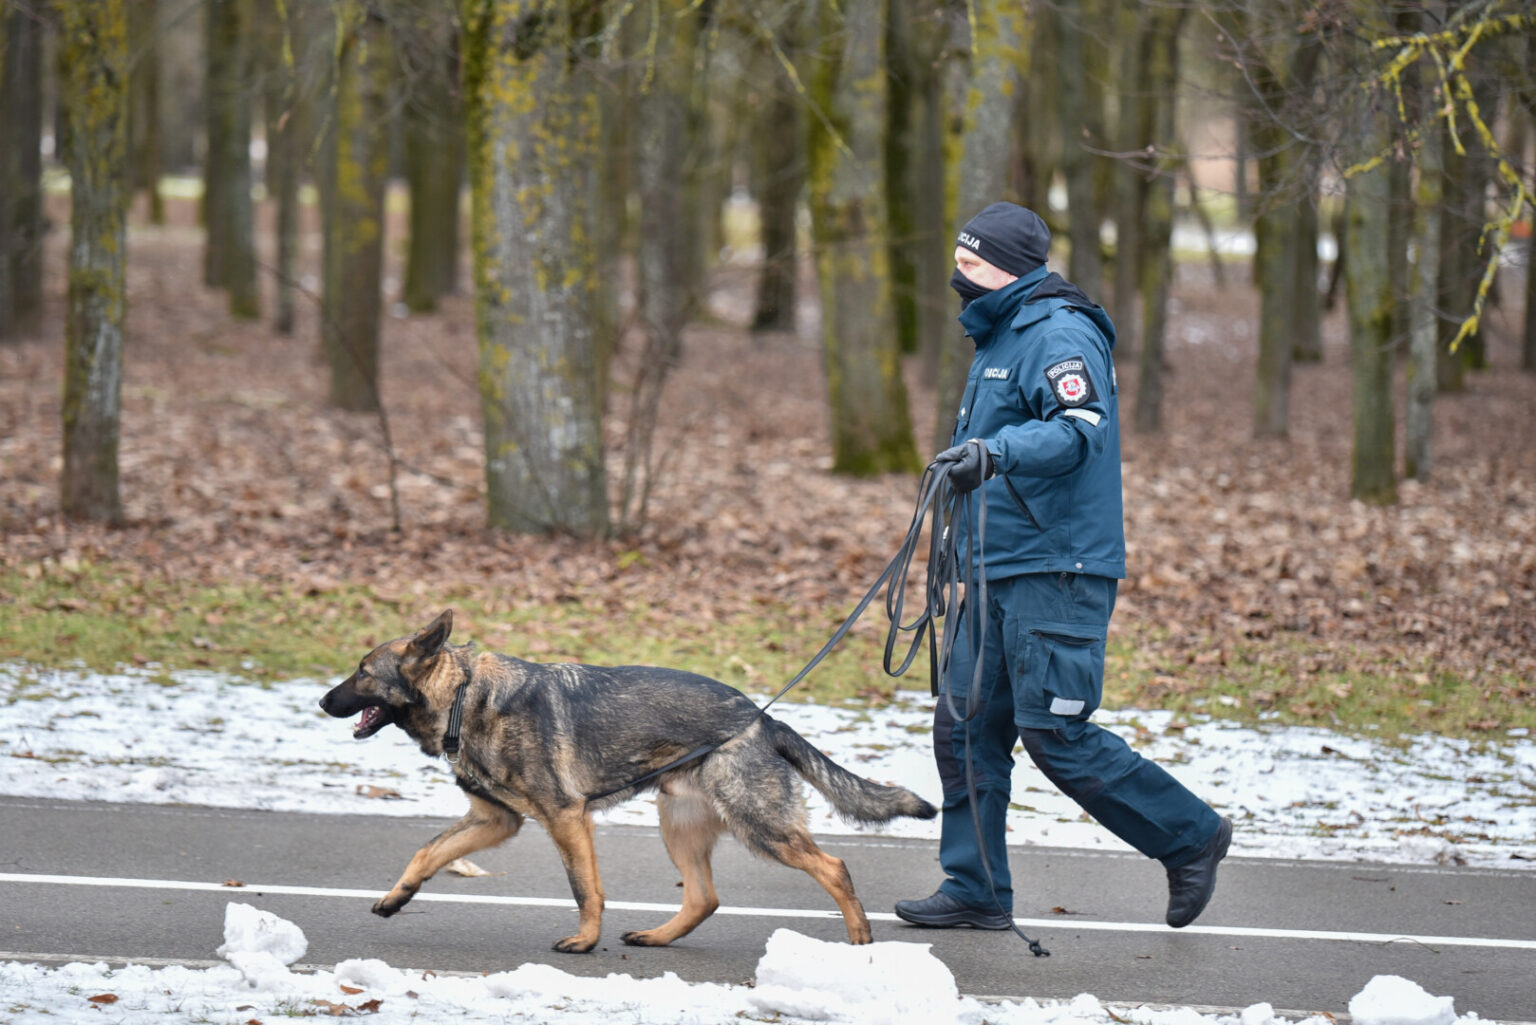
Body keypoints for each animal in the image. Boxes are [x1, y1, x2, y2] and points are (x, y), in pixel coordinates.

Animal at [319, 609, 937, 952]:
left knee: (834, 867)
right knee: (705, 898)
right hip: (678, 826)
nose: (321, 702)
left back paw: (859, 940)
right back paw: (657, 937)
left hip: (759, 827)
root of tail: (760, 718)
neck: (465, 697)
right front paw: (396, 898)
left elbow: (584, 889)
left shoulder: (565, 819)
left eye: (362, 673)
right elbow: (428, 852)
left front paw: (585, 941)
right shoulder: (497, 820)